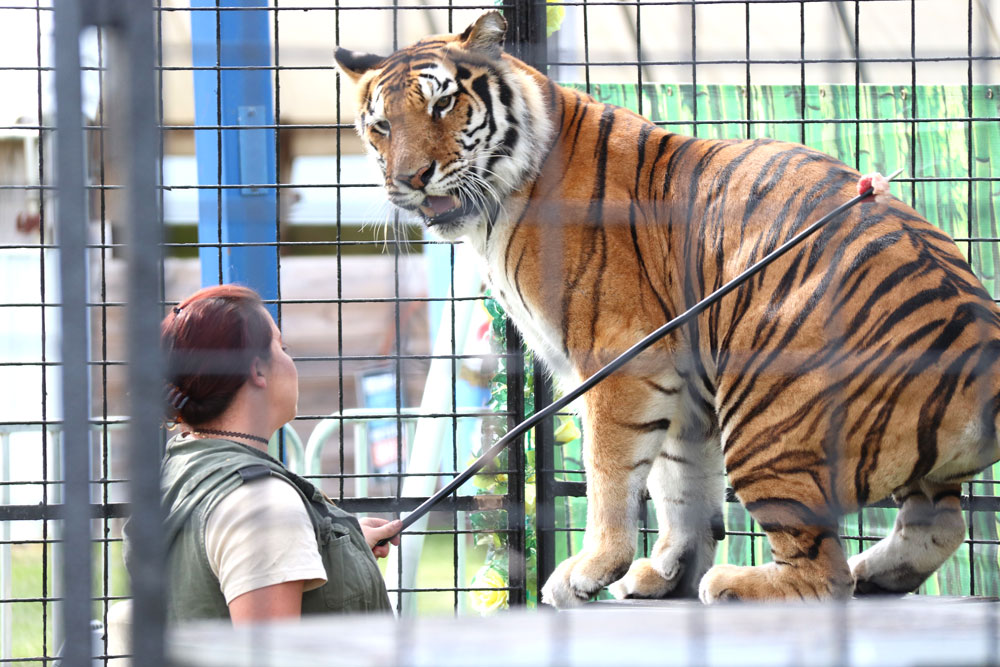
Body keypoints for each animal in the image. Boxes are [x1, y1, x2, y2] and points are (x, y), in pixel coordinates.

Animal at [334, 10, 1000, 608]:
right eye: (381, 126)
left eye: (443, 104)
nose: (411, 179)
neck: (498, 204)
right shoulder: (684, 381)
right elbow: (678, 482)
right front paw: (664, 572)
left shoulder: (622, 358)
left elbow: (611, 473)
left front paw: (591, 569)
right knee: (940, 525)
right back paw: (874, 572)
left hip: (768, 410)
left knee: (824, 575)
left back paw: (739, 583)